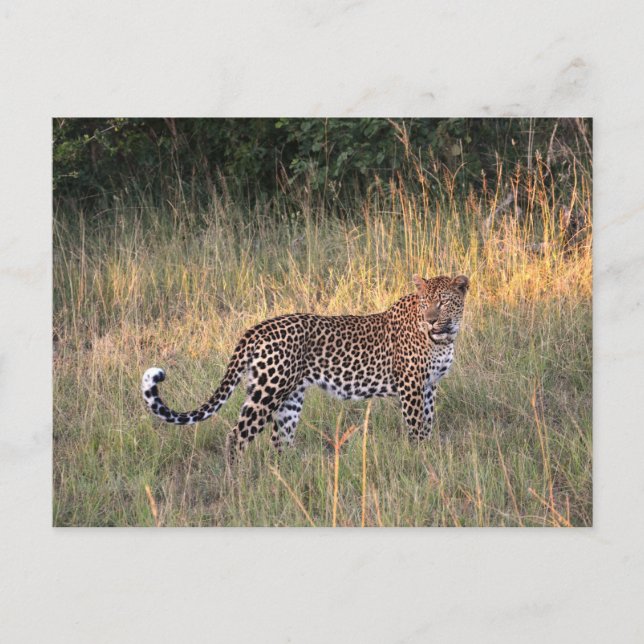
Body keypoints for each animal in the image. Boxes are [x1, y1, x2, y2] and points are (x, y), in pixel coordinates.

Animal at [141, 273, 469, 465]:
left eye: (442, 302)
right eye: (425, 303)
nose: (430, 320)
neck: (445, 336)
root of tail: (257, 328)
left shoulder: (429, 387)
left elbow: (428, 423)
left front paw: (428, 452)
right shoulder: (411, 386)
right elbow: (416, 427)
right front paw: (419, 457)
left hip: (289, 397)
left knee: (279, 440)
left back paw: (287, 476)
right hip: (268, 391)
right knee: (237, 435)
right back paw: (238, 482)